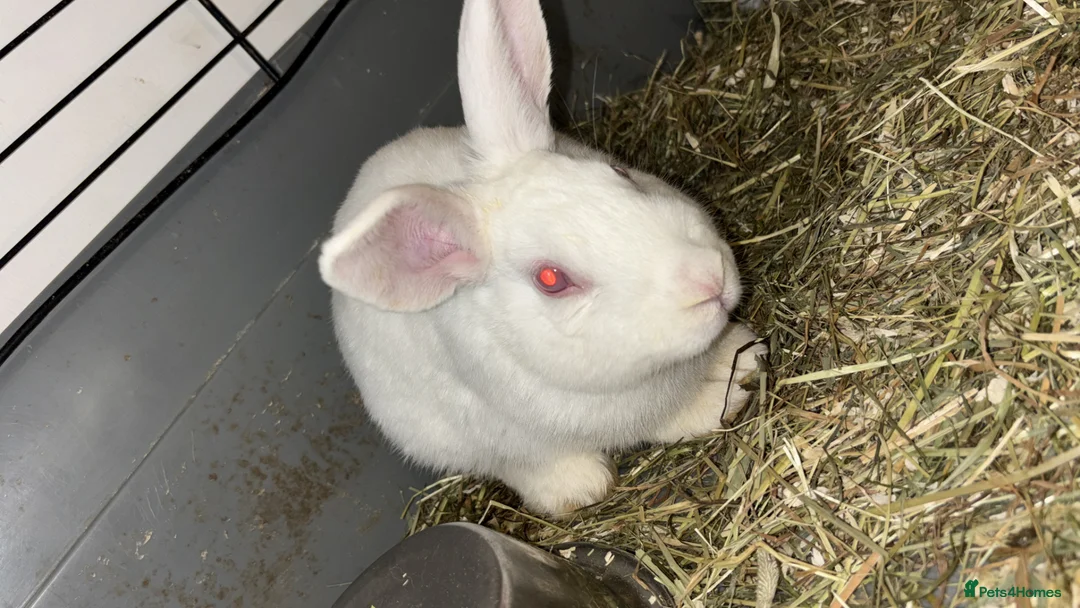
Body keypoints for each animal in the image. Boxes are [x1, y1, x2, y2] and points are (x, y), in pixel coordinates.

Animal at [318, 0, 768, 516]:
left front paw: (745, 359)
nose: (708, 278)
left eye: (619, 172)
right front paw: (721, 403)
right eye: (551, 279)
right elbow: (664, 421)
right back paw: (579, 486)